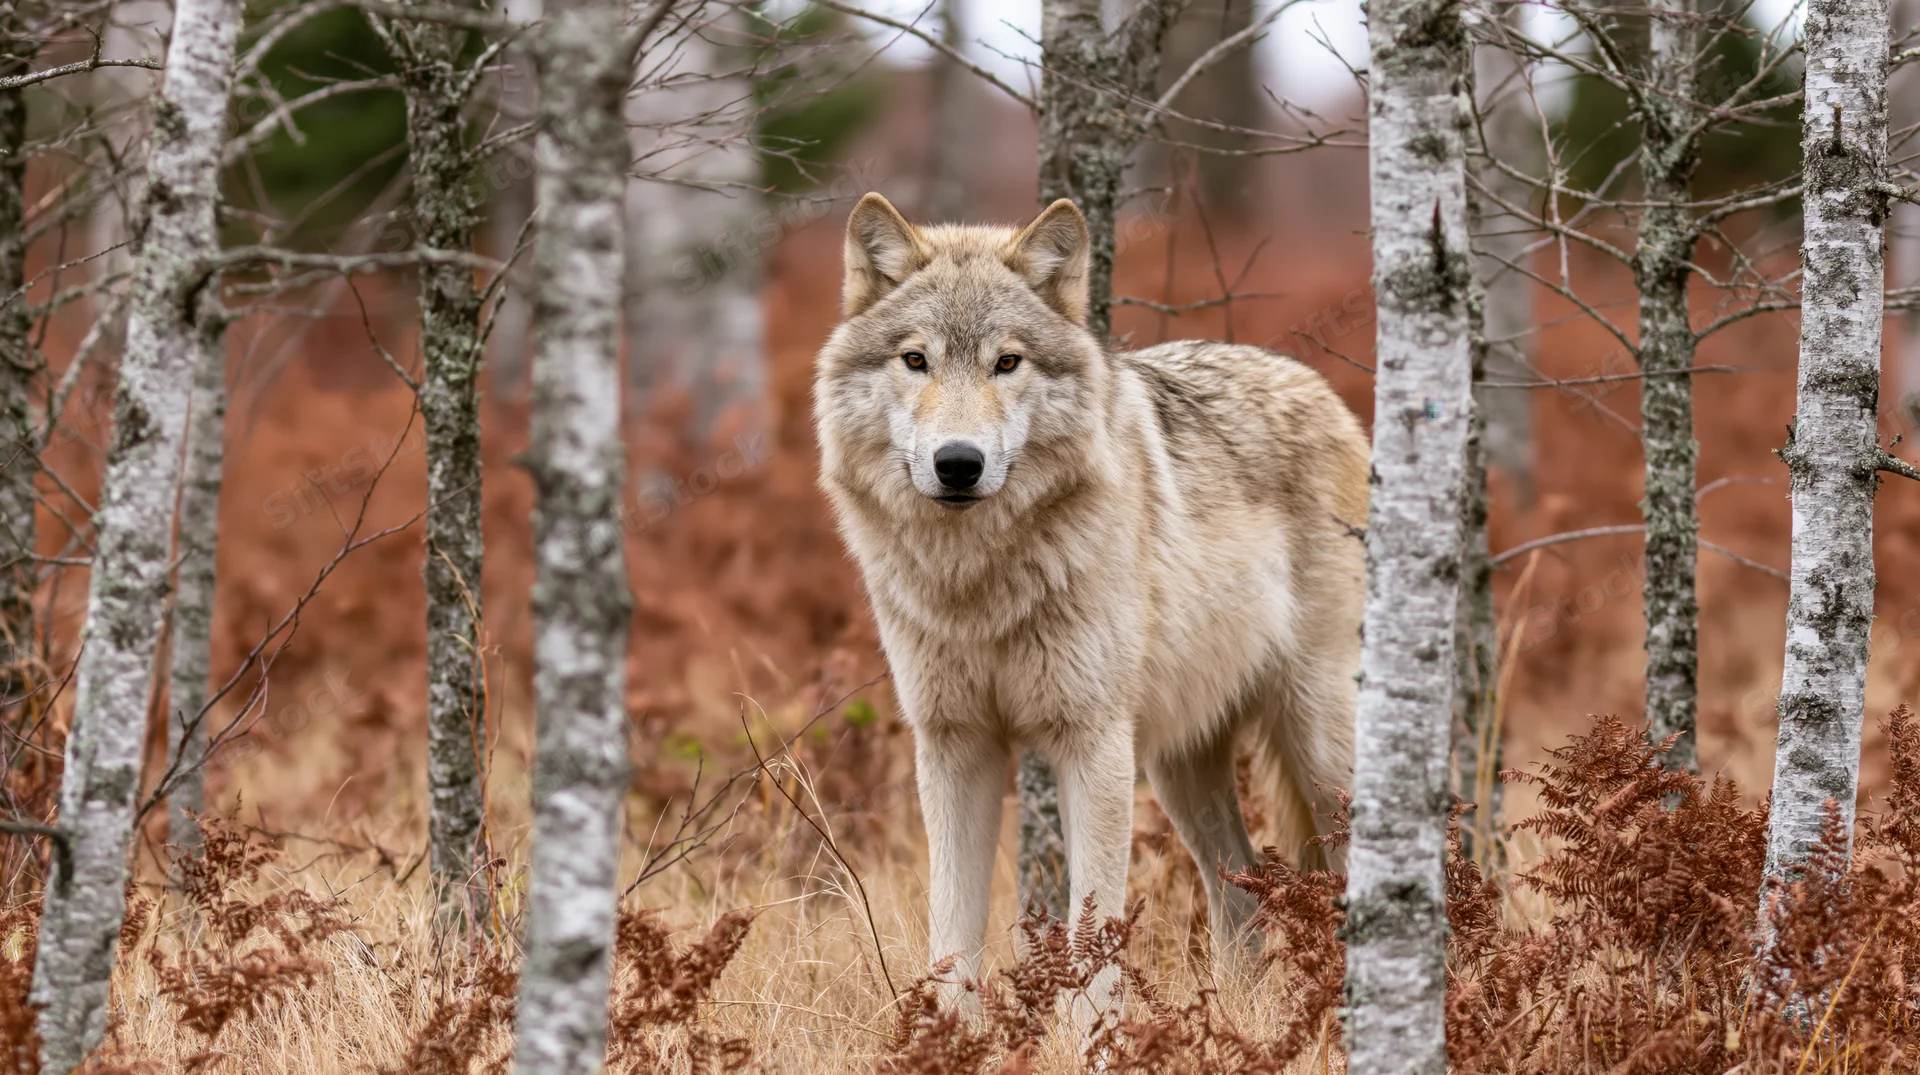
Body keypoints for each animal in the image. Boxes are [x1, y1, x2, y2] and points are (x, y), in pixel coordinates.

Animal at [813, 193, 1369, 997]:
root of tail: (1323, 388)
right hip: (1181, 767)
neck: (978, 582)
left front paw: (1098, 1027)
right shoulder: (955, 746)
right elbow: (953, 940)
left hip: (1320, 745)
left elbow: (1093, 935)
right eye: (915, 359)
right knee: (1242, 889)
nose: (958, 463)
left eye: (1007, 361)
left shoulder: (1094, 743)